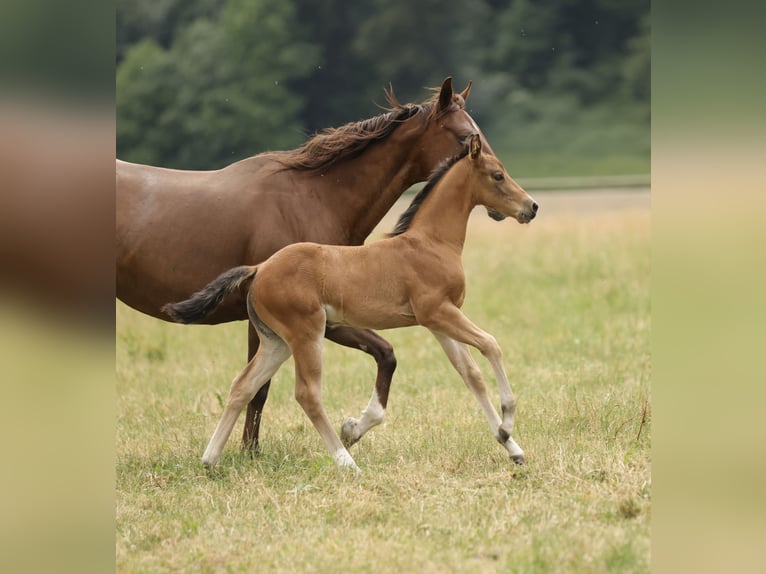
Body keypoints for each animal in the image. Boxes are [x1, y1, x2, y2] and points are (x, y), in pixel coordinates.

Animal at [117, 77, 492, 452]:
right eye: (464, 137)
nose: (496, 171)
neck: (312, 199)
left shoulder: (327, 318)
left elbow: (384, 353)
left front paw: (349, 429)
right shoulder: (297, 321)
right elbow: (260, 388)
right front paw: (250, 452)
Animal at [163, 134, 538, 471]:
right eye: (498, 175)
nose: (531, 207)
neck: (430, 243)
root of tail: (260, 268)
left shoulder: (438, 322)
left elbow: (470, 374)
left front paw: (512, 446)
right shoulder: (439, 312)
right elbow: (491, 345)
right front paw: (507, 422)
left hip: (276, 342)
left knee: (243, 386)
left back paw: (210, 460)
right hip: (307, 334)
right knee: (307, 393)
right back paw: (346, 462)